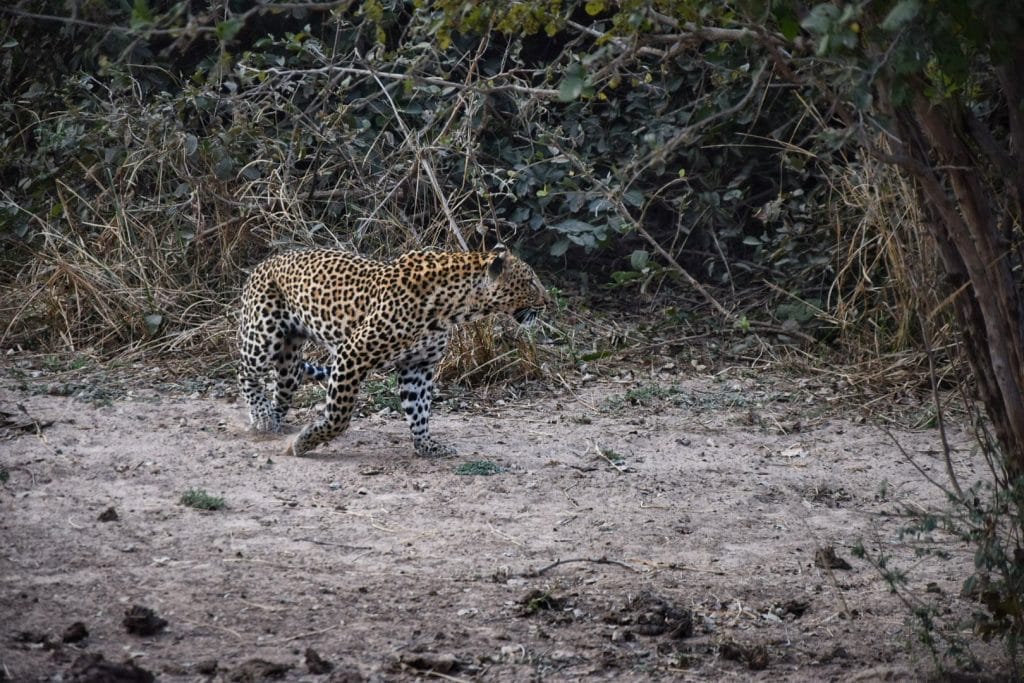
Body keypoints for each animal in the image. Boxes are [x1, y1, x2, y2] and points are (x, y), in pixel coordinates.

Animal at [237, 245, 549, 457]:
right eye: (530, 282)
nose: (548, 302)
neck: (456, 306)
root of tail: (264, 263)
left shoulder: (418, 366)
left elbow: (419, 410)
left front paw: (427, 446)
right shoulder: (352, 354)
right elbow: (339, 415)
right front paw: (305, 442)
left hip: (290, 358)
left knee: (282, 388)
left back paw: (272, 419)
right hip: (264, 337)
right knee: (243, 370)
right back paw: (262, 415)